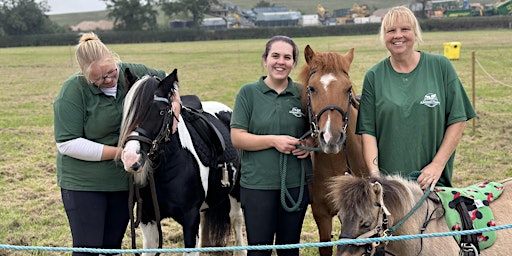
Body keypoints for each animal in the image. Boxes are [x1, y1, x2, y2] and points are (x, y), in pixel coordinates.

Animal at [118, 69, 246, 255]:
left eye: (160, 112)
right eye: (127, 111)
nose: (130, 158)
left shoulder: (189, 220)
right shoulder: (148, 218)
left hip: (236, 190)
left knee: (236, 218)